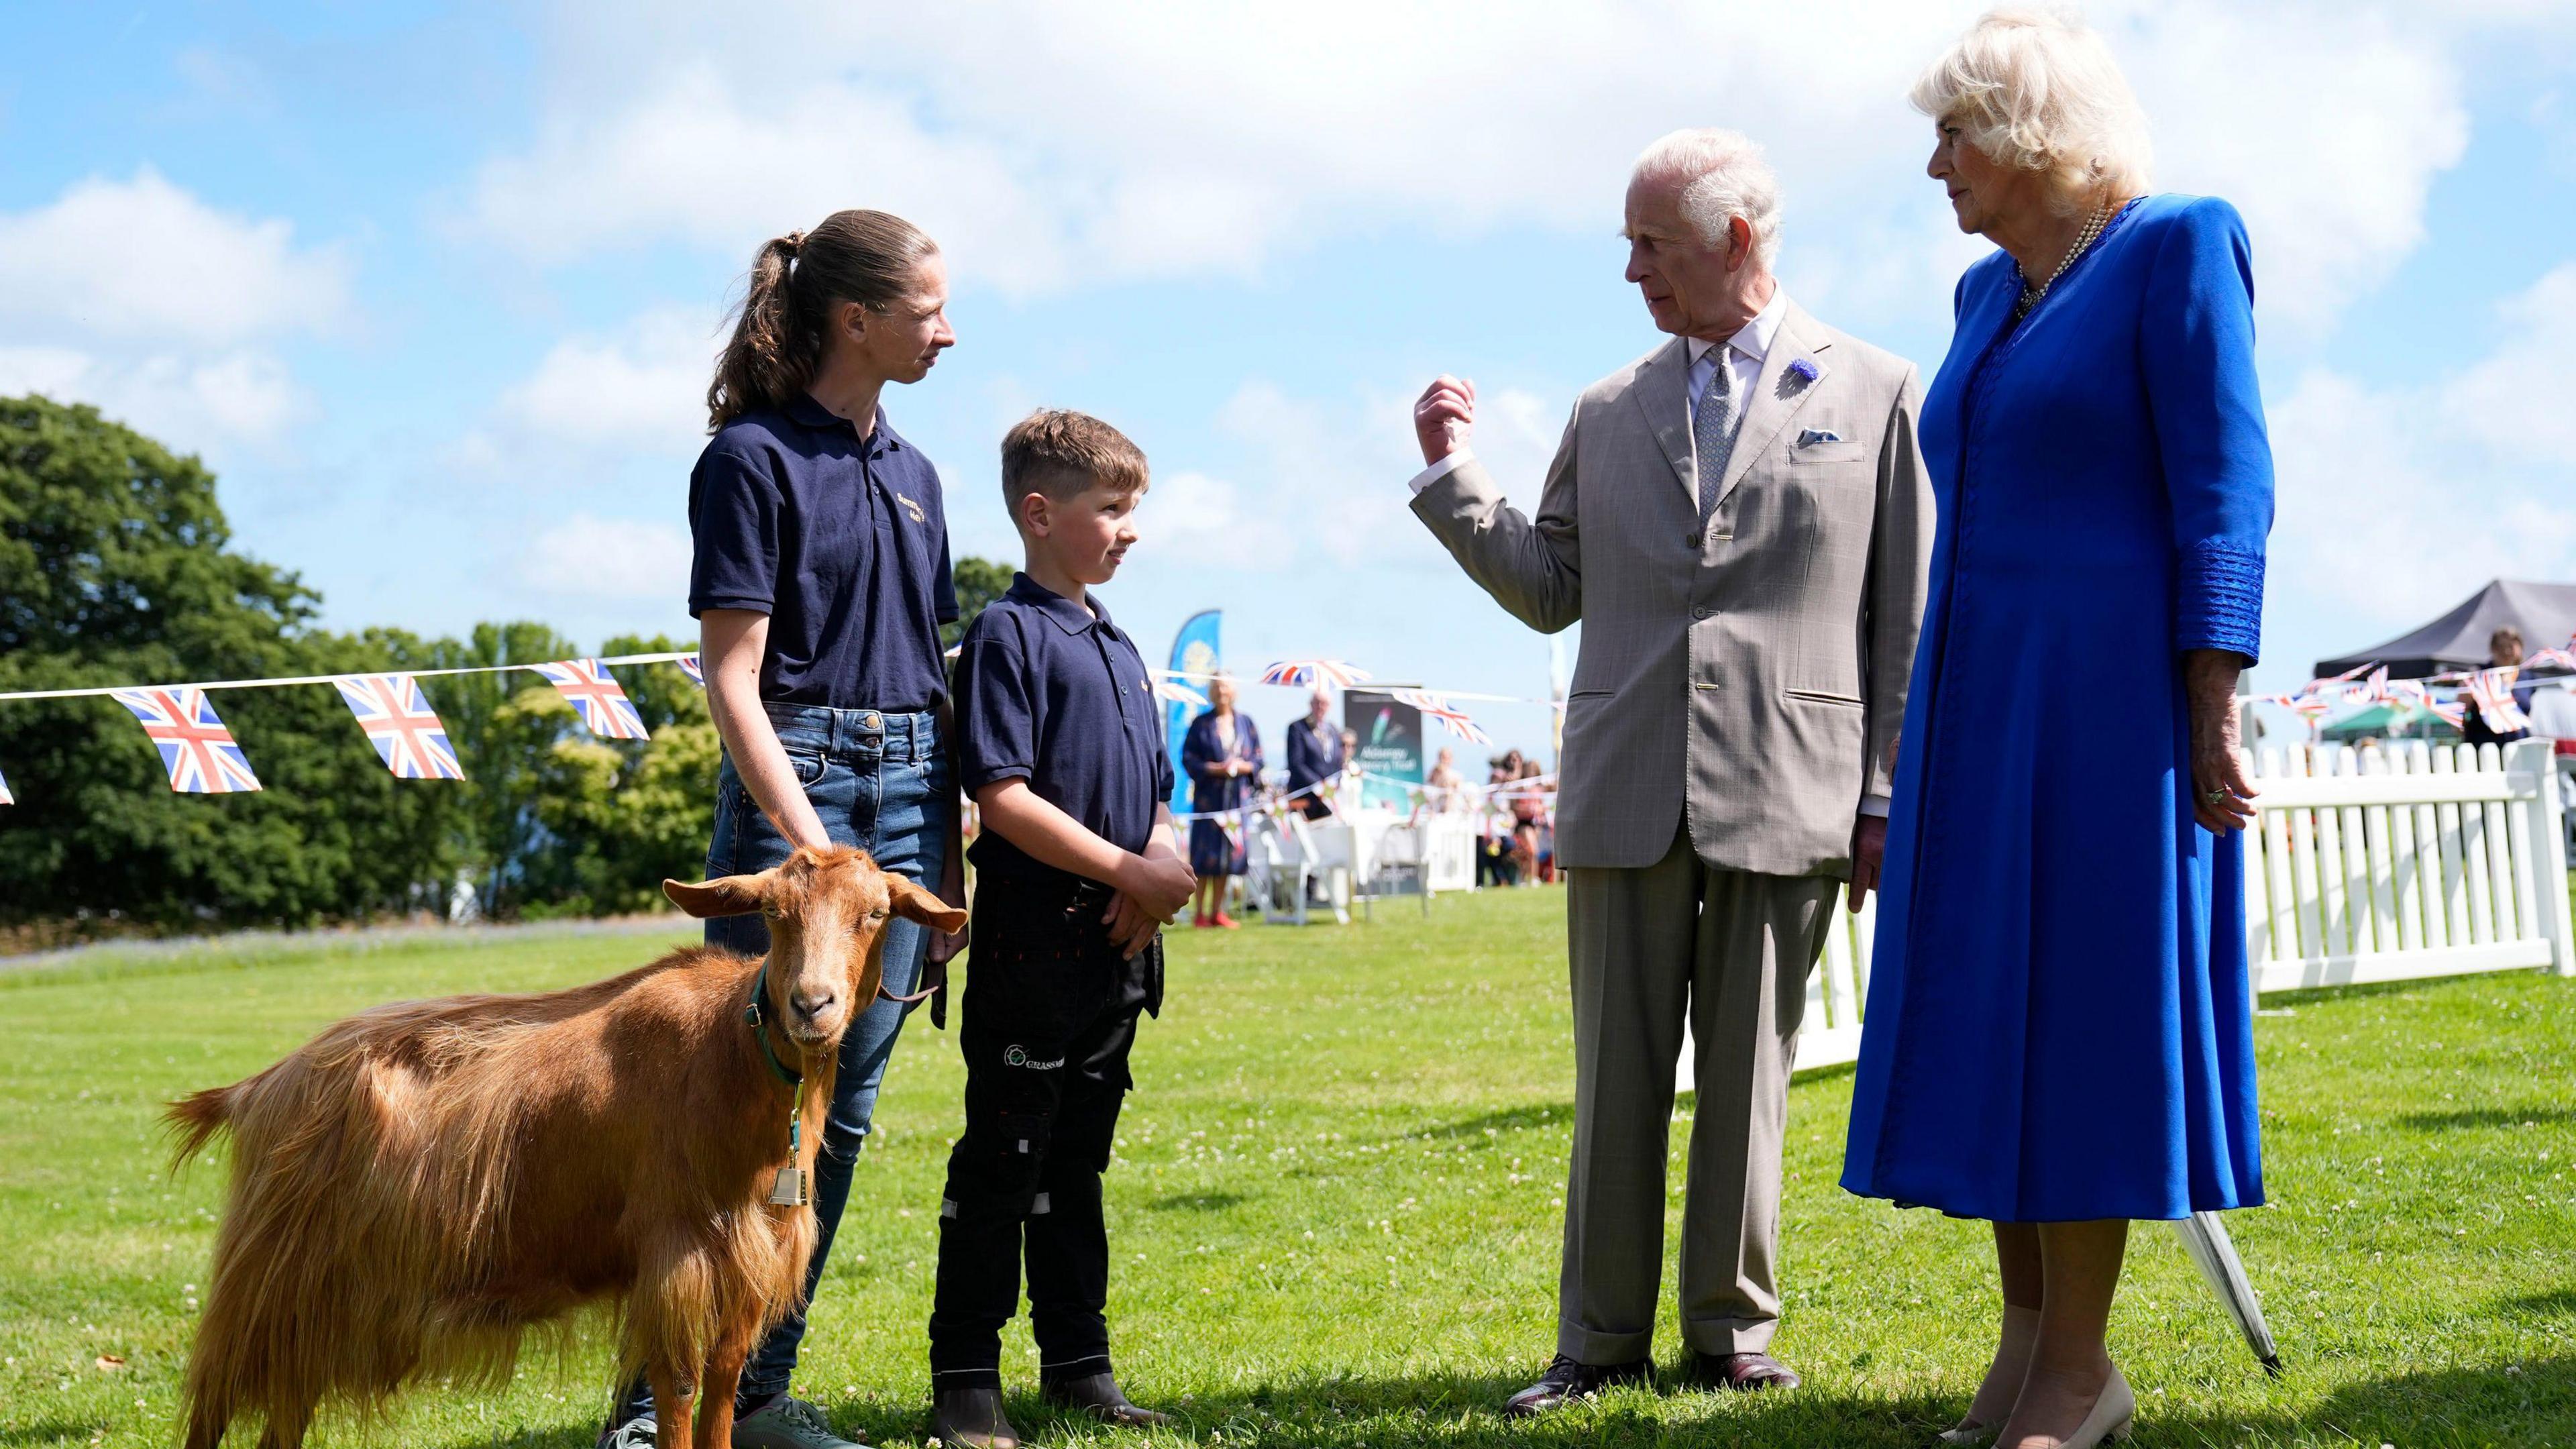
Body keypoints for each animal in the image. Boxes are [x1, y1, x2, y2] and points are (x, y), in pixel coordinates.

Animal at [163, 840, 968, 1444]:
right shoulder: (674, 1255)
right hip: (267, 1282)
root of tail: (260, 1085)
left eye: (875, 914)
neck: (732, 1058)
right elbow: (678, 1389)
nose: (811, 1006)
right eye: (774, 913)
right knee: (214, 1404)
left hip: (316, 1303)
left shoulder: (754, 1260)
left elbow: (723, 1387)